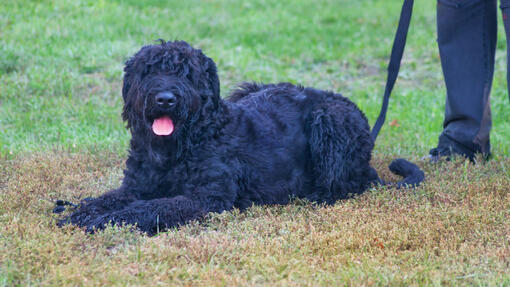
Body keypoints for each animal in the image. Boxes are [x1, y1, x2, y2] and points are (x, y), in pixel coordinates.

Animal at [58, 40, 426, 235]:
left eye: (186, 74)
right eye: (149, 71)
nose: (165, 98)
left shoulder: (205, 198)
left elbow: (148, 208)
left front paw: (104, 220)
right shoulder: (135, 186)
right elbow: (112, 198)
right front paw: (82, 209)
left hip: (328, 121)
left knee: (345, 185)